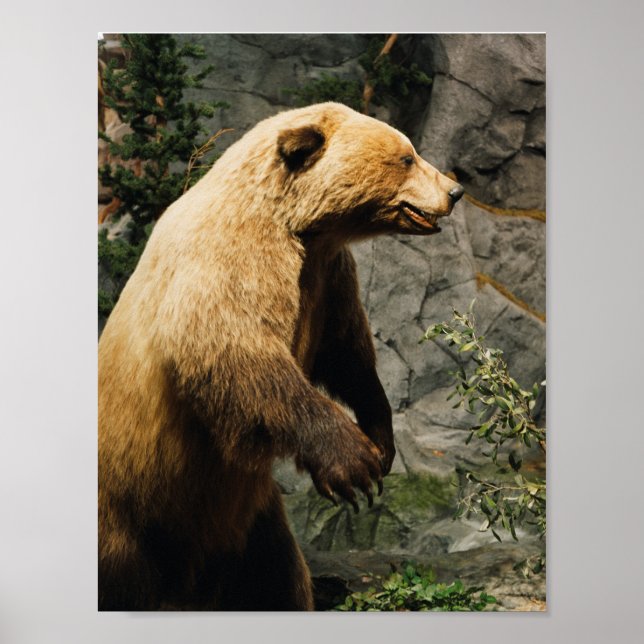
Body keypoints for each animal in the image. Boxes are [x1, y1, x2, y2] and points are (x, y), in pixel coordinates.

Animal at [98, 102, 464, 611]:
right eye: (407, 156)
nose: (455, 190)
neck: (301, 226)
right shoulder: (229, 260)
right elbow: (240, 354)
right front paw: (354, 463)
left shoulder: (328, 277)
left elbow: (347, 353)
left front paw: (381, 437)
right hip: (129, 509)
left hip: (249, 521)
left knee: (274, 576)